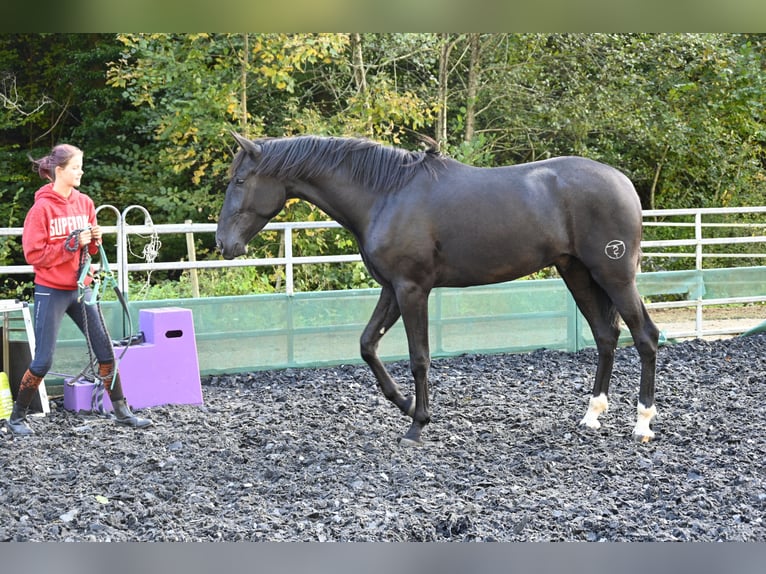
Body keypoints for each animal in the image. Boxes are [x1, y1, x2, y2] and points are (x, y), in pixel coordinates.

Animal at [216, 133, 660, 446]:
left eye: (240, 180)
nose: (223, 244)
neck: (386, 195)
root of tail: (623, 183)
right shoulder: (391, 289)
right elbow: (367, 345)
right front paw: (407, 404)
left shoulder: (413, 290)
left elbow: (419, 358)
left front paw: (417, 424)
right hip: (578, 273)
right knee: (606, 335)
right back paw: (592, 415)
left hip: (615, 275)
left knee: (645, 337)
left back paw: (642, 424)